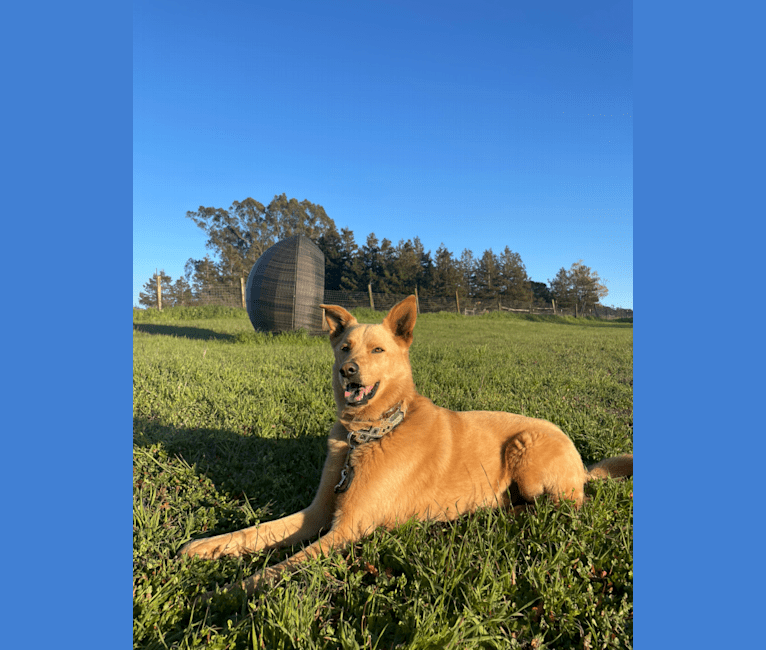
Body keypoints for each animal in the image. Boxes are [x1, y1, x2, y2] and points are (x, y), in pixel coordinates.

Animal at [180, 296, 636, 596]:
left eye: (378, 350)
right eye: (344, 347)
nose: (348, 371)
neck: (369, 435)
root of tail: (580, 462)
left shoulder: (346, 529)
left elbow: (278, 569)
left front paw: (218, 595)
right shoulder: (317, 514)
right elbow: (258, 532)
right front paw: (206, 547)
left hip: (527, 454)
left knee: (567, 507)